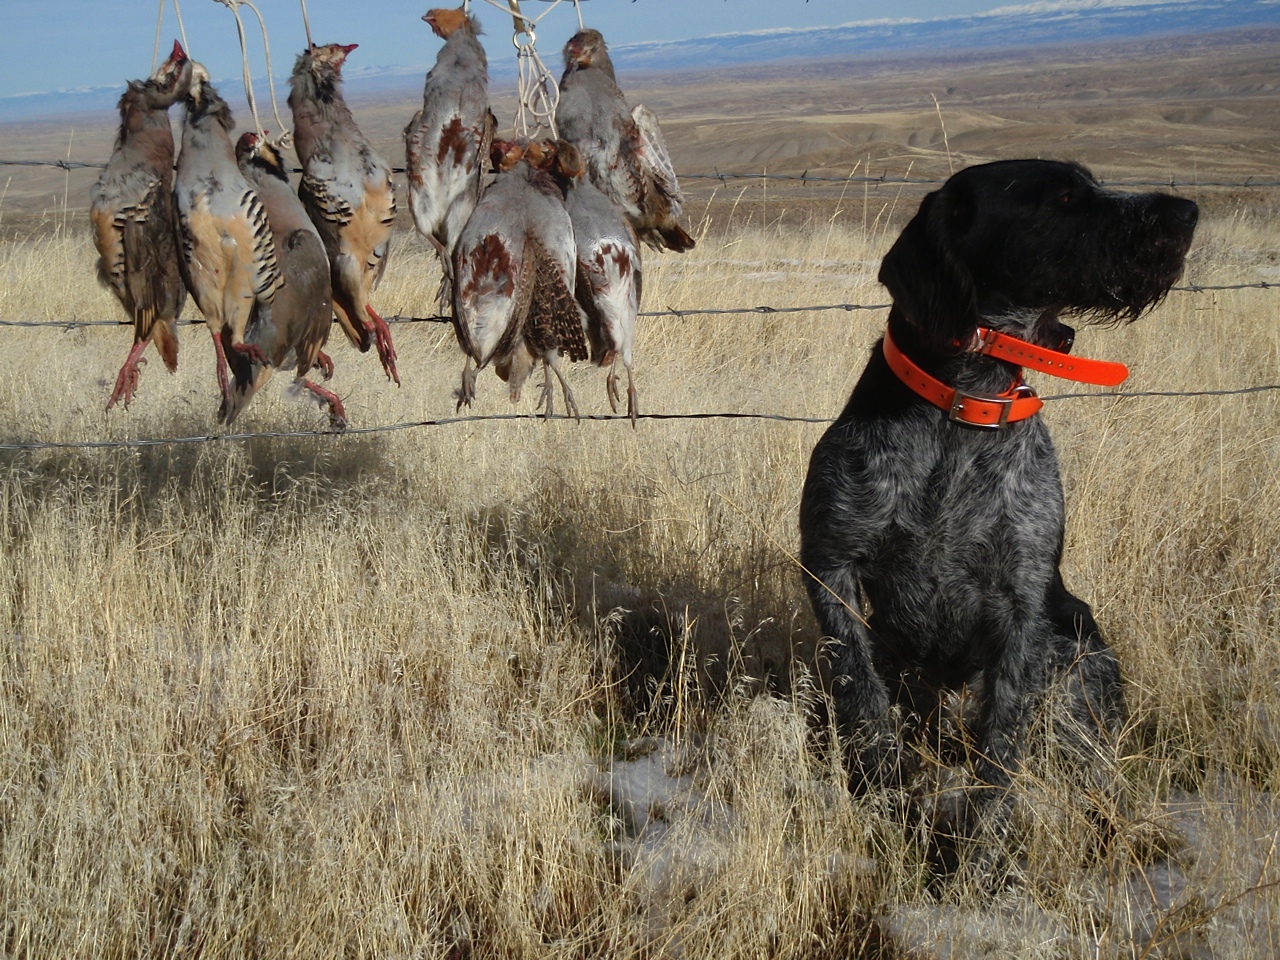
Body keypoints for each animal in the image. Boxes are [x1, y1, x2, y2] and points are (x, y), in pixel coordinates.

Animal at [798, 160, 1198, 880]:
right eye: (1063, 195)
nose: (1186, 213)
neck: (964, 409)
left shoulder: (1023, 607)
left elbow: (1001, 751)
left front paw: (979, 863)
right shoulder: (829, 564)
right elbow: (863, 698)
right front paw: (884, 800)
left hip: (1079, 667)